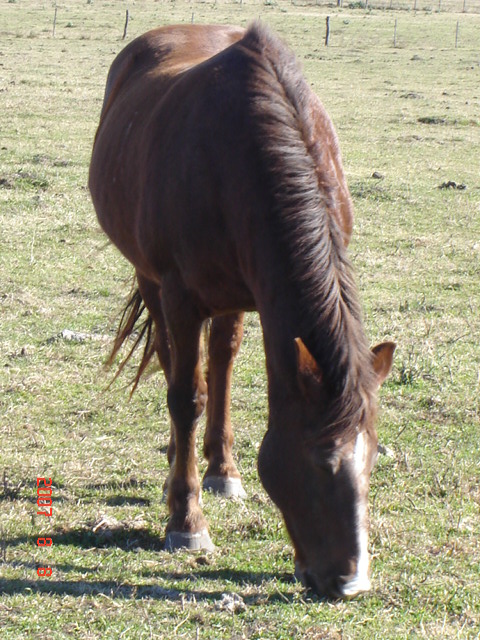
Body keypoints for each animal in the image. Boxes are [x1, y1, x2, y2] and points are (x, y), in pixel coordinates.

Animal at [89, 21, 394, 600]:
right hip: (153, 280)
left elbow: (219, 374)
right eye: (321, 463)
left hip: (234, 296)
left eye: (371, 457)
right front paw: (185, 522)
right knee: (176, 364)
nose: (351, 582)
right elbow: (185, 396)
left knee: (223, 360)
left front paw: (218, 473)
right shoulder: (180, 295)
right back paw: (180, 462)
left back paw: (221, 468)